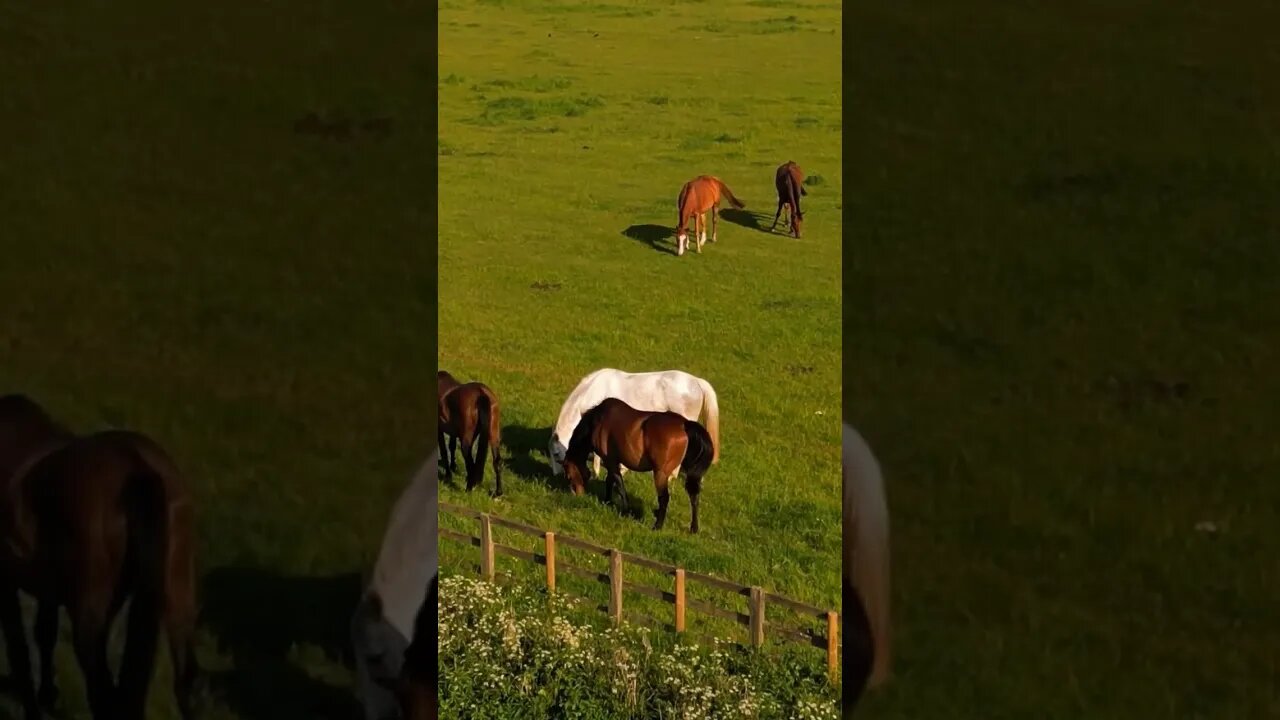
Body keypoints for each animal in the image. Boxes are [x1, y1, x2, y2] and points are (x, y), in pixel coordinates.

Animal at [0, 392, 198, 717]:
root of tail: (136, 465)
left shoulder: (6, 584)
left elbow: (19, 653)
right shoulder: (48, 589)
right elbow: (44, 632)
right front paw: (48, 695)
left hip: (89, 624)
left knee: (104, 696)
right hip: (177, 596)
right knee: (186, 683)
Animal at [545, 366, 721, 479]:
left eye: (556, 453)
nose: (555, 474)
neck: (593, 391)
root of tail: (696, 382)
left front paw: (597, 472)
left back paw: (671, 477)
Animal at [565, 394, 716, 530]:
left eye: (568, 476)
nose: (577, 495)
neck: (598, 420)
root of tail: (684, 424)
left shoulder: (610, 461)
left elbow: (618, 484)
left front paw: (626, 510)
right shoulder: (613, 462)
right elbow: (610, 481)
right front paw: (607, 501)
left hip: (660, 473)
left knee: (664, 498)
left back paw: (657, 526)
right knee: (694, 496)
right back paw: (693, 528)